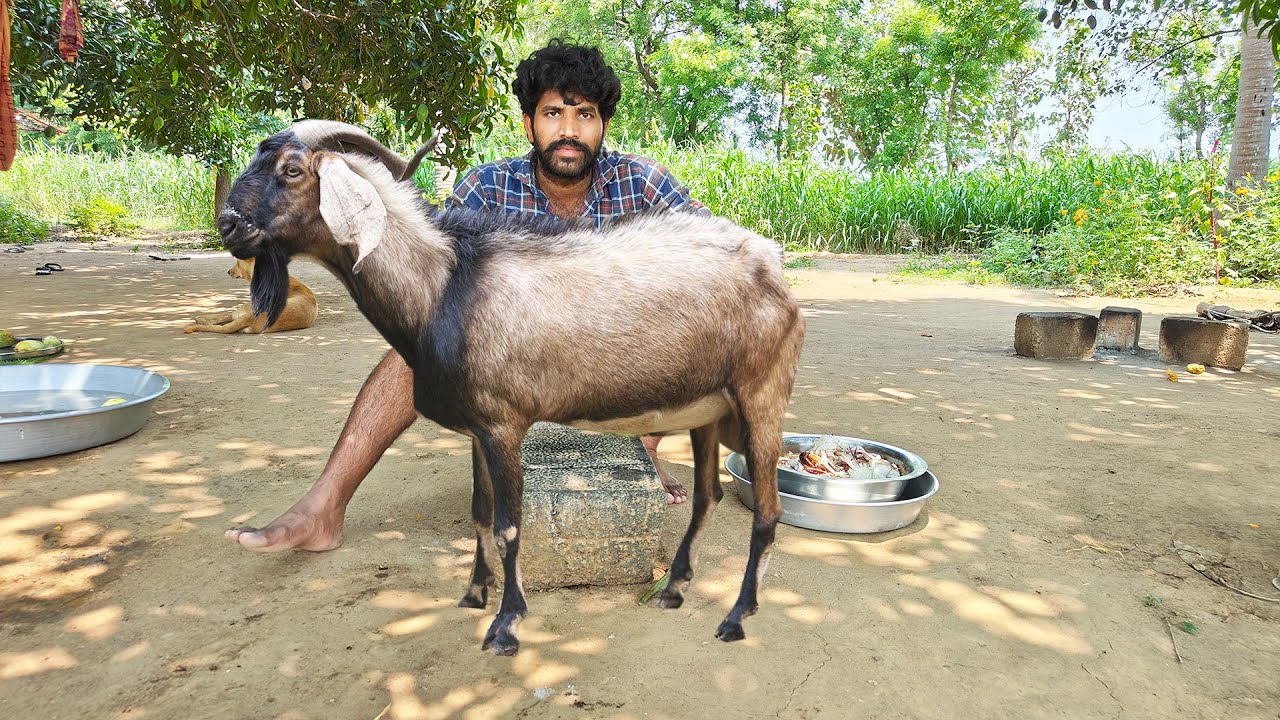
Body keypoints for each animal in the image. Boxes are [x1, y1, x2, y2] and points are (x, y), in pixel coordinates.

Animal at [218, 121, 806, 656]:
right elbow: (480, 511)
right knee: (708, 496)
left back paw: (736, 616)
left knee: (767, 511)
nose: (227, 224)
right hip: (708, 409)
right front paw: (475, 593)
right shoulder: (476, 429)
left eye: (292, 170)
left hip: (761, 394)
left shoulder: (504, 425)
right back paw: (674, 589)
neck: (443, 289)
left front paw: (506, 625)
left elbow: (508, 527)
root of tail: (771, 262)